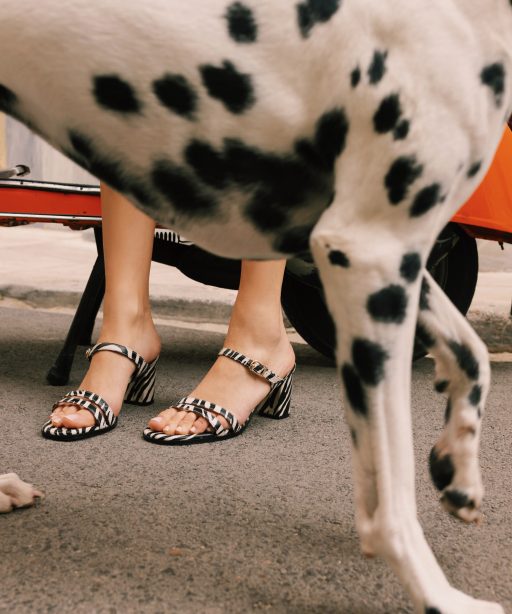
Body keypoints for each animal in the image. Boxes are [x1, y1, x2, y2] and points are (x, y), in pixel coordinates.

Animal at [0, 0, 510, 610]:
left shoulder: (369, 250)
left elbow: (471, 352)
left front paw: (459, 471)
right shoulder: (371, 249)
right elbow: (391, 485)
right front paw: (440, 594)